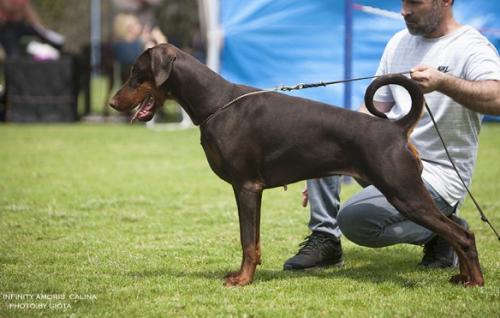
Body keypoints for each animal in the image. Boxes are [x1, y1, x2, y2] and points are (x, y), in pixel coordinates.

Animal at [109, 42, 484, 288]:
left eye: (136, 73)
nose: (112, 103)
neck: (217, 103)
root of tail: (394, 128)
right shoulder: (249, 189)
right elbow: (253, 240)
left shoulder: (246, 187)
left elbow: (247, 240)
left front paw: (242, 280)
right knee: (456, 228)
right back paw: (462, 275)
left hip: (403, 192)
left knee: (460, 234)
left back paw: (475, 281)